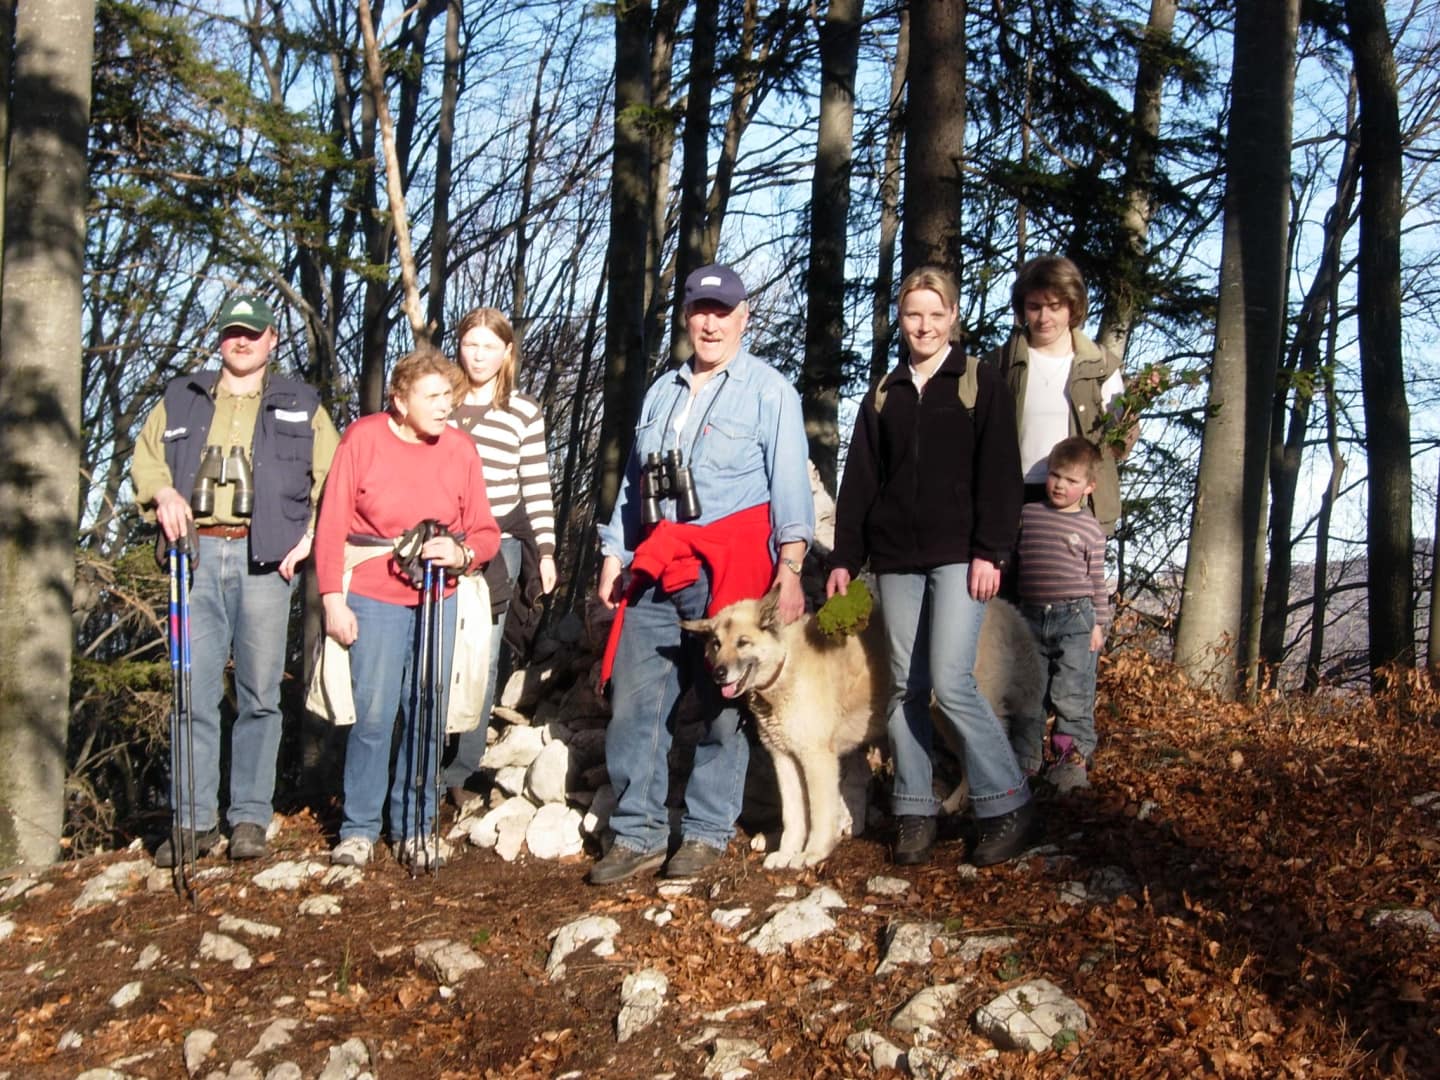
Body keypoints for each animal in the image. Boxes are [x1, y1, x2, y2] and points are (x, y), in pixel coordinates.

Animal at [682, 586, 1041, 869]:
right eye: (716, 644)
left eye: (743, 643)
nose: (718, 674)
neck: (785, 667)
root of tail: (1006, 608)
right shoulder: (783, 758)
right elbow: (793, 816)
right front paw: (786, 853)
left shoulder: (817, 759)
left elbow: (819, 814)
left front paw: (813, 853)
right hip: (943, 715)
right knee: (969, 759)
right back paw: (954, 804)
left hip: (961, 704)